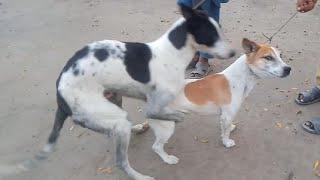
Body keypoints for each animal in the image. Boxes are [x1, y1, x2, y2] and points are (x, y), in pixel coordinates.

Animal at [141, 39, 292, 165]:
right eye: (268, 57)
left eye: (281, 56)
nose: (288, 69)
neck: (240, 77)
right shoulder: (227, 115)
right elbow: (225, 134)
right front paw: (227, 142)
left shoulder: (225, 116)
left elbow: (225, 128)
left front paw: (230, 128)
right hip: (166, 128)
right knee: (156, 147)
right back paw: (168, 159)